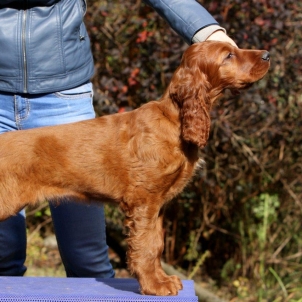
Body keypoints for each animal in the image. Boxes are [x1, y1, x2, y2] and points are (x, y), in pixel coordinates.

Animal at [0, 41, 268, 296]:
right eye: (228, 55)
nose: (267, 55)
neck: (175, 122)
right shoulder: (143, 201)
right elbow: (145, 247)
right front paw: (154, 286)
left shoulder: (157, 205)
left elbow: (156, 244)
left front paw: (162, 279)